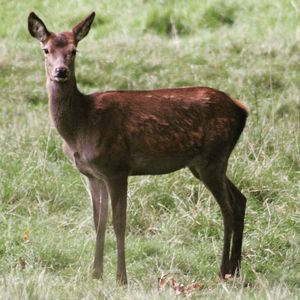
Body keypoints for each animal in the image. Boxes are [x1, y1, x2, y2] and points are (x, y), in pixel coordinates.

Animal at [28, 11, 248, 284]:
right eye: (46, 49)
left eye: (74, 50)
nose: (61, 71)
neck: (80, 127)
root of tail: (242, 110)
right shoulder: (92, 174)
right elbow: (98, 221)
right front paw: (96, 274)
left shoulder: (117, 167)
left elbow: (119, 222)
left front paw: (121, 278)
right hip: (207, 162)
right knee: (240, 200)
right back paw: (236, 268)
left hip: (213, 158)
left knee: (227, 208)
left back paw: (223, 269)